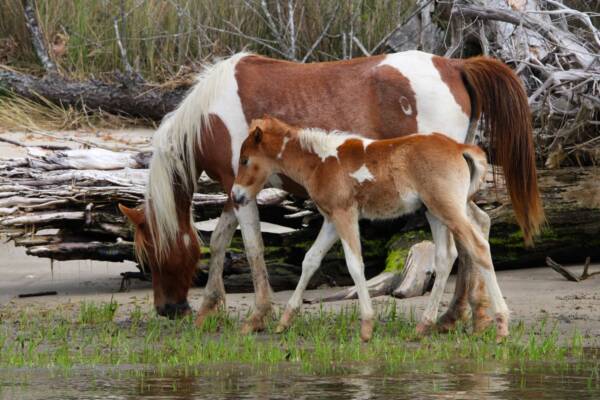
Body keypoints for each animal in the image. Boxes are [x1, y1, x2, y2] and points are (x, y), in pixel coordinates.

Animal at [232, 117, 508, 342]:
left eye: (245, 160)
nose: (236, 196)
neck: (320, 162)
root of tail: (460, 148)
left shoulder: (345, 214)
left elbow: (355, 265)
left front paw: (366, 326)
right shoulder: (331, 220)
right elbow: (310, 260)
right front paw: (285, 321)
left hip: (446, 208)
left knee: (478, 247)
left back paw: (501, 326)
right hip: (436, 212)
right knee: (447, 257)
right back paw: (425, 326)